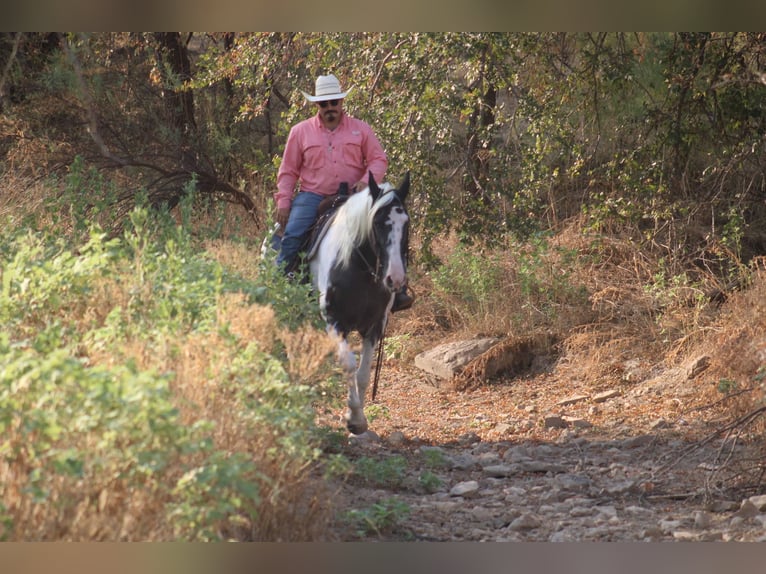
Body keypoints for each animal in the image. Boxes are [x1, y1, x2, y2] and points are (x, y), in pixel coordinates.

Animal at [308, 171, 412, 436]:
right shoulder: (335, 321)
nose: (395, 278)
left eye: (406, 223)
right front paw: (353, 418)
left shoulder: (375, 325)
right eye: (377, 222)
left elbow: (364, 373)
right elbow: (348, 364)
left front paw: (359, 417)